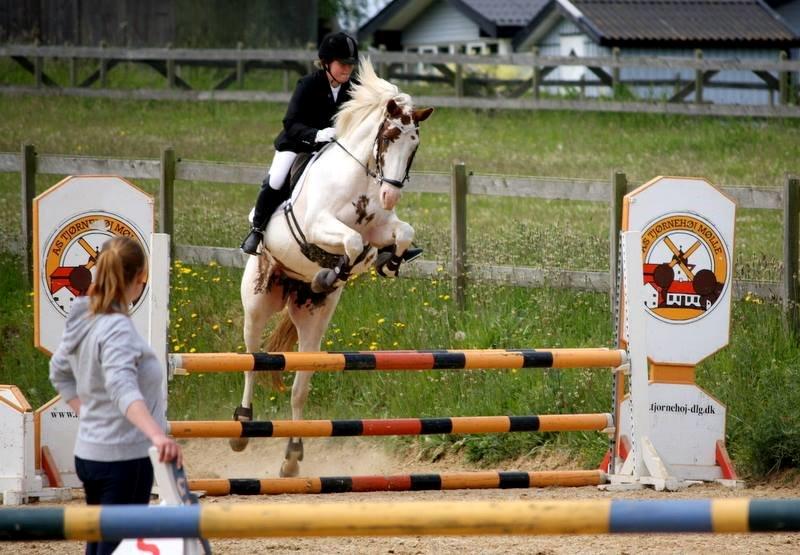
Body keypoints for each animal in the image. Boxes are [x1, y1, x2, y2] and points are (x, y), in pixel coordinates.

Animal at [233, 59, 432, 478]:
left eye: (414, 144)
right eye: (389, 135)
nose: (390, 194)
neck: (361, 177)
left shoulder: (381, 226)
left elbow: (398, 234)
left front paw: (388, 261)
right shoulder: (317, 225)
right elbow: (351, 242)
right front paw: (331, 271)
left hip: (313, 319)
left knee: (300, 385)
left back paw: (292, 455)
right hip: (257, 302)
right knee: (251, 360)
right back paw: (242, 425)